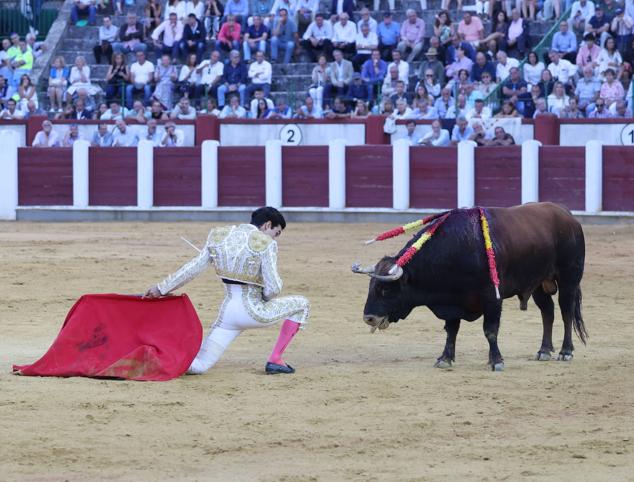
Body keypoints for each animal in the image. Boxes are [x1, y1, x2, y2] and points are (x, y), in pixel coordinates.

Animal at [348, 201, 584, 370]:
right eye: (371, 287)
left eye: (386, 289)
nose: (369, 318)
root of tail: (568, 215)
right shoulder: (453, 299)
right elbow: (451, 330)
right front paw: (445, 358)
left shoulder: (492, 298)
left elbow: (490, 330)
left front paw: (496, 361)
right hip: (538, 284)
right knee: (548, 311)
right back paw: (544, 351)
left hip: (569, 278)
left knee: (566, 311)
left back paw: (565, 352)